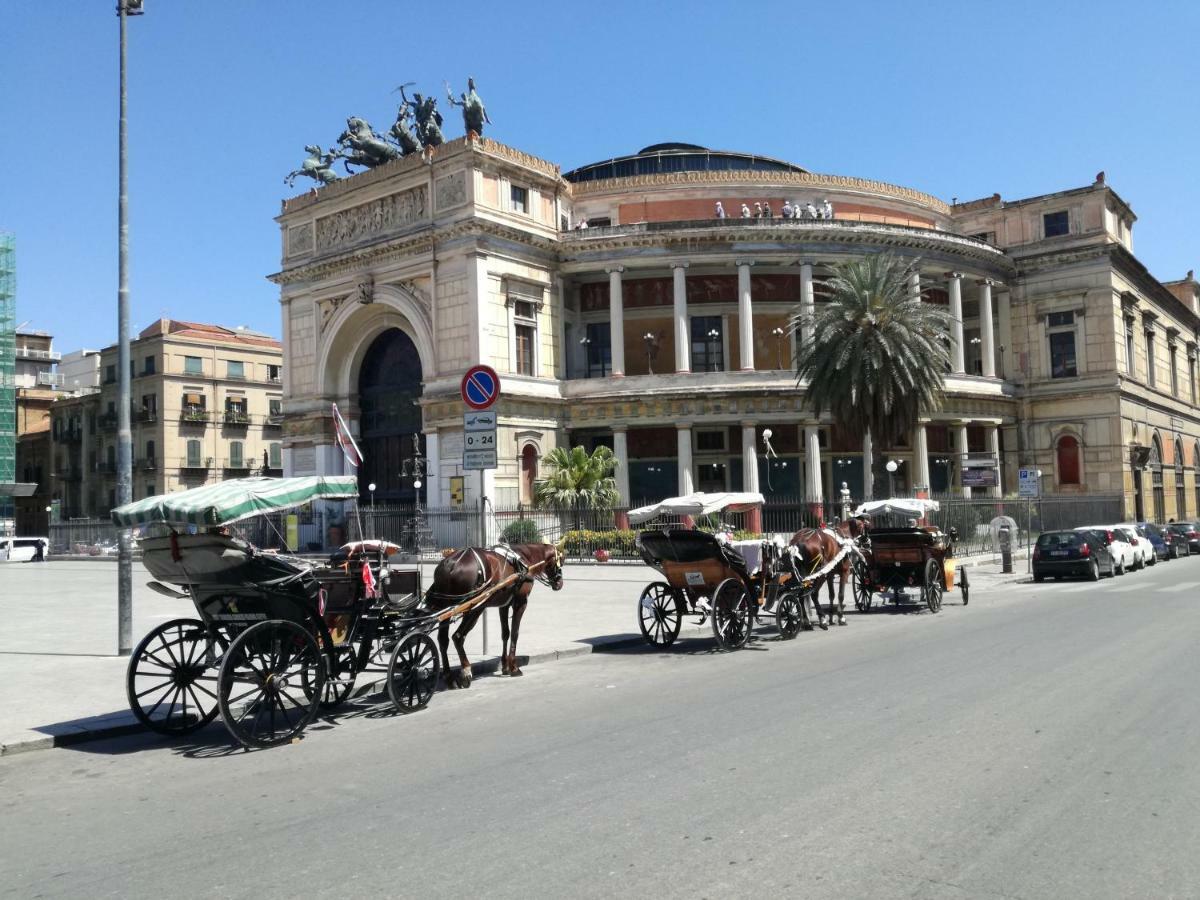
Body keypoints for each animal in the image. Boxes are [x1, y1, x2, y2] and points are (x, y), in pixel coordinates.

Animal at [424, 542, 564, 691]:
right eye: (561, 560)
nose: (559, 583)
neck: (526, 559)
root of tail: (451, 563)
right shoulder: (520, 603)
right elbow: (514, 633)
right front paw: (514, 667)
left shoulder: (504, 606)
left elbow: (505, 634)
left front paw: (505, 666)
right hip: (475, 608)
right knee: (458, 636)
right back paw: (466, 672)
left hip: (447, 608)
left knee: (443, 640)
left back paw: (449, 678)